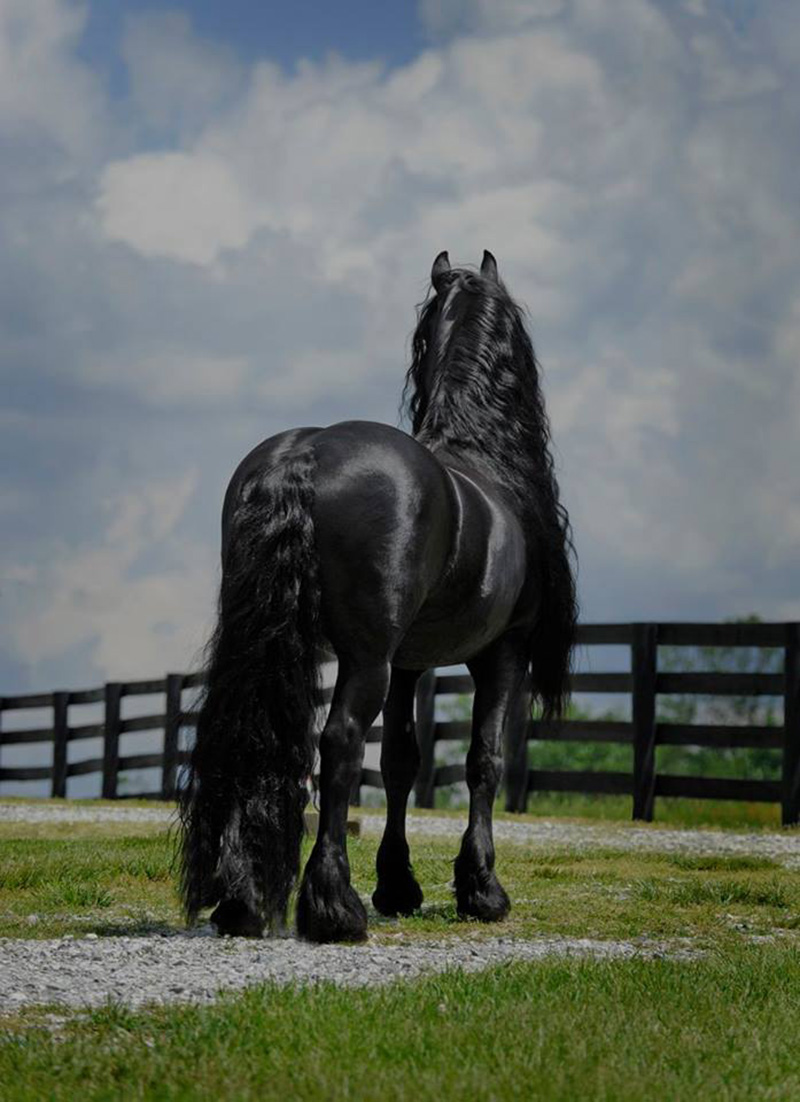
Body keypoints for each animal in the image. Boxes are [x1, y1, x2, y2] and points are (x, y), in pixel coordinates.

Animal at [179, 252, 577, 947]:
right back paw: (334, 908)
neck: (483, 458)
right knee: (338, 742)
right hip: (366, 660)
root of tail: (303, 454)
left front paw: (399, 886)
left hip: (276, 645)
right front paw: (481, 889)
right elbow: (484, 760)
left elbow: (400, 762)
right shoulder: (502, 655)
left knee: (248, 737)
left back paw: (241, 902)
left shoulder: (409, 664)